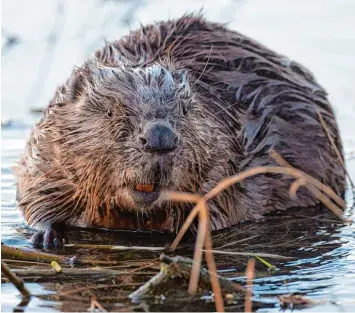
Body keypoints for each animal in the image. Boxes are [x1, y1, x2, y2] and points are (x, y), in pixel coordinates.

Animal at [13, 12, 348, 247]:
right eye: (110, 111)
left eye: (185, 111)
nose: (160, 137)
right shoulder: (47, 150)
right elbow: (35, 195)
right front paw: (46, 235)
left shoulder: (226, 156)